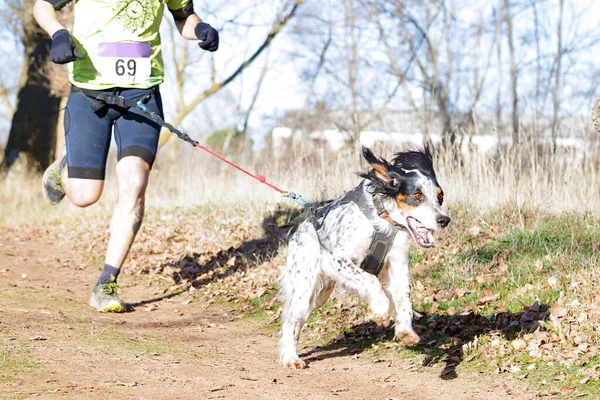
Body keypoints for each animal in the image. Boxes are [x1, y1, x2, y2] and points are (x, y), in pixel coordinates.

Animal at [278, 147, 450, 368]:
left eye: (440, 196)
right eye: (417, 195)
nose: (444, 220)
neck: (383, 218)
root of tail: (302, 224)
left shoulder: (398, 263)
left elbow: (404, 298)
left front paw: (405, 331)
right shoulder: (337, 259)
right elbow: (369, 279)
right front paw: (380, 309)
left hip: (320, 294)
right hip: (304, 289)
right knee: (291, 322)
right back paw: (290, 358)